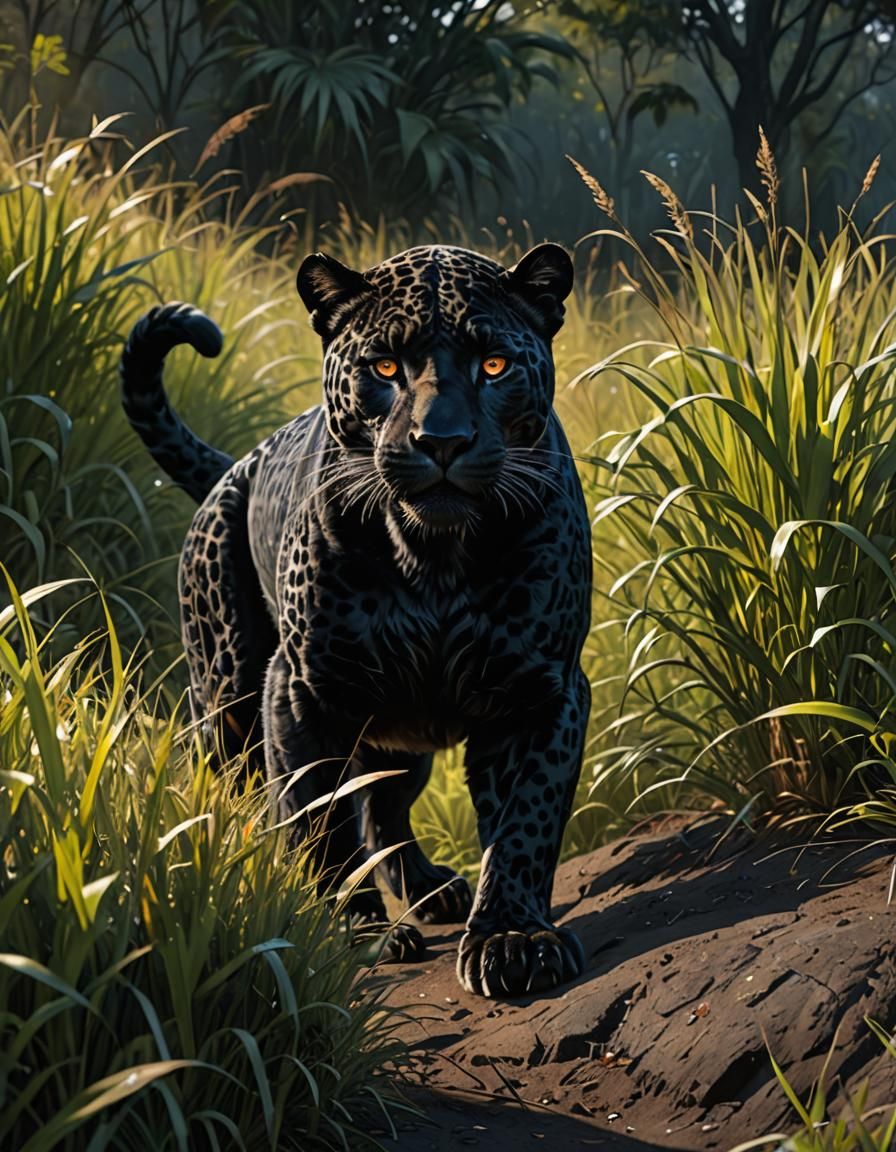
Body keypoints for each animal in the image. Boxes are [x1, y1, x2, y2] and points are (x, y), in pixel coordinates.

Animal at [119, 242, 592, 998]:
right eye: (386, 368)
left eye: (493, 365)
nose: (442, 440)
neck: (434, 557)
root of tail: (234, 464)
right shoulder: (302, 690)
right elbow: (319, 820)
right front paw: (351, 932)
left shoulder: (540, 689)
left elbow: (527, 818)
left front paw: (512, 936)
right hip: (227, 697)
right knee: (244, 799)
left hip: (396, 729)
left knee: (386, 807)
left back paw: (432, 889)